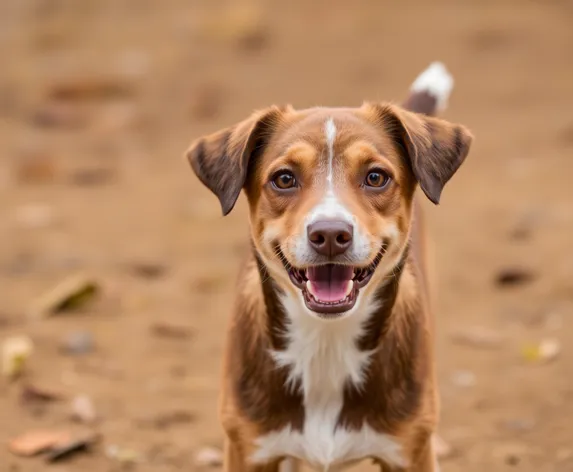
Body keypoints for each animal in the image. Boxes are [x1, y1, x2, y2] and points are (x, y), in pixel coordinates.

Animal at [185, 63, 472, 472]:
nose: (331, 234)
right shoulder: (249, 449)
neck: (326, 341)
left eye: (376, 176)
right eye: (284, 178)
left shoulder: (410, 451)